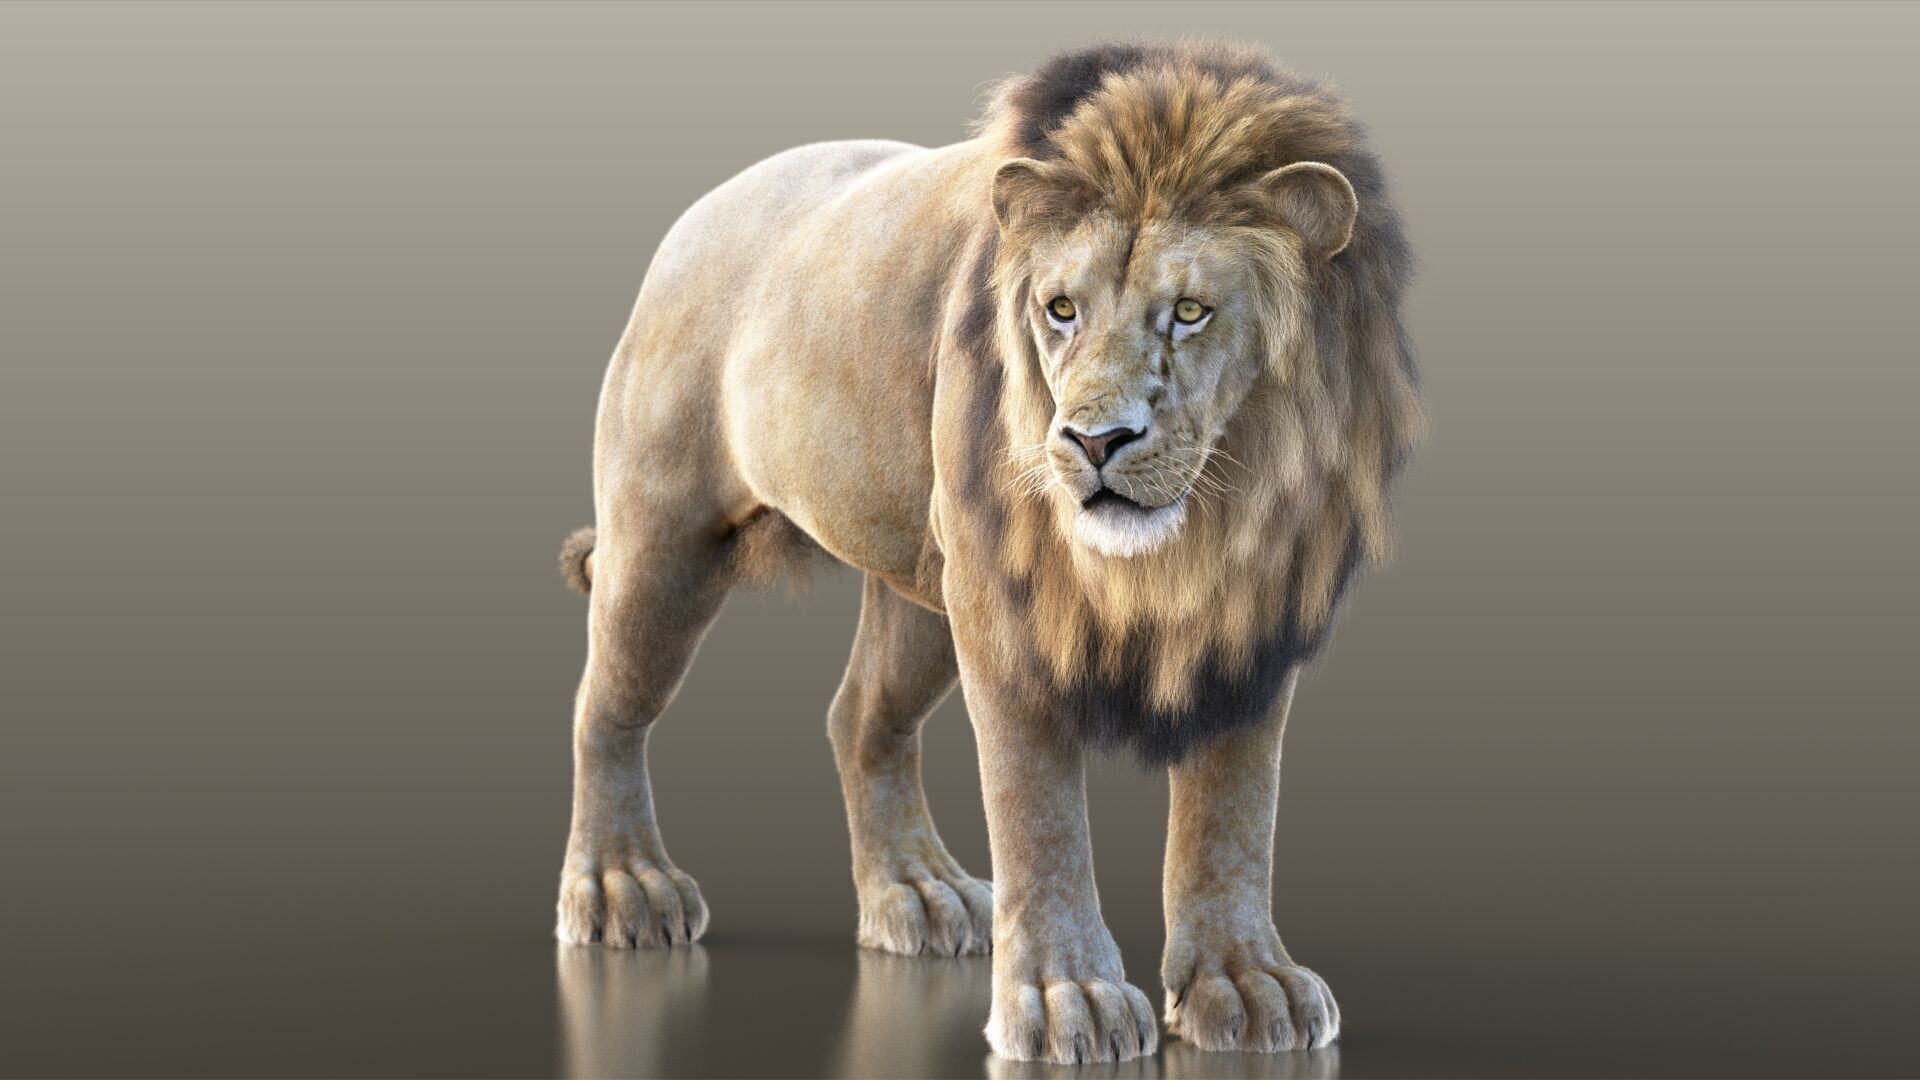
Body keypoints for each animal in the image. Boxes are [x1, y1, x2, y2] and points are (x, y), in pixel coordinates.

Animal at [552, 41, 1420, 1064]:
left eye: (1191, 311)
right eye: (1061, 309)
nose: (1092, 441)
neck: (1207, 527)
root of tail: (698, 213)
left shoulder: (1260, 607)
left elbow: (1233, 805)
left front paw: (1246, 985)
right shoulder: (1006, 596)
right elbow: (1037, 806)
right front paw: (1066, 999)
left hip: (921, 584)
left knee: (860, 717)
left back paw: (917, 893)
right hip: (667, 539)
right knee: (606, 706)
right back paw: (620, 888)